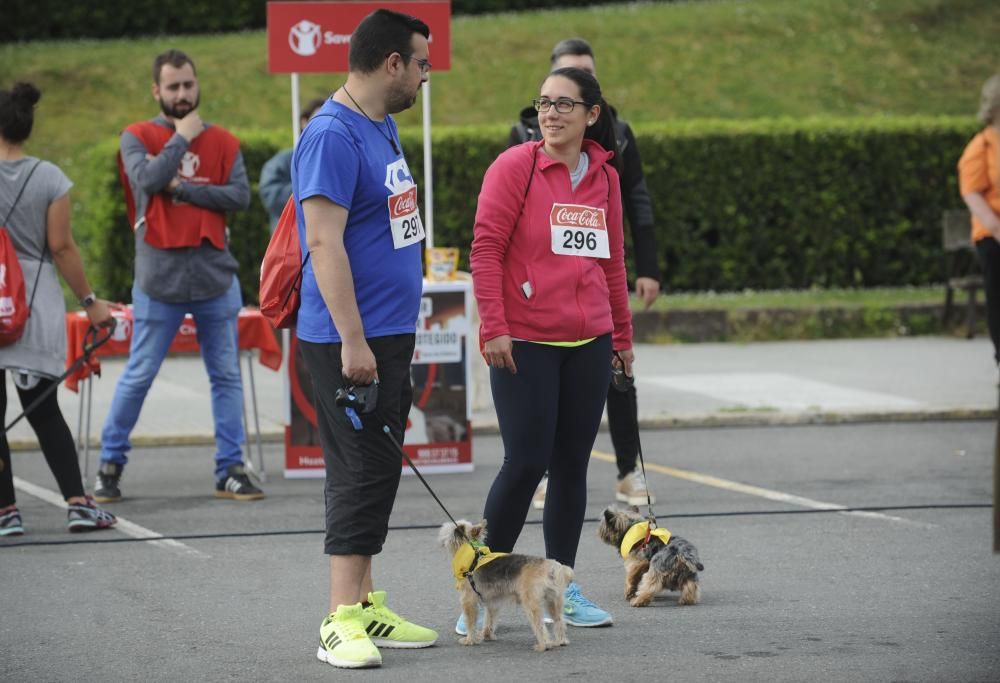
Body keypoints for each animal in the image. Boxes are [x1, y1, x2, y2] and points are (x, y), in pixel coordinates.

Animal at [436, 520, 572, 656]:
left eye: (456, 527)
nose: (444, 525)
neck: (470, 555)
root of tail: (551, 567)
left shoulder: (468, 601)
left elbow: (470, 622)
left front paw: (470, 640)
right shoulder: (492, 602)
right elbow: (489, 619)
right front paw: (487, 635)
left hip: (531, 604)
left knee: (539, 625)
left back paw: (544, 645)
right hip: (554, 601)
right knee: (559, 620)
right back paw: (561, 641)